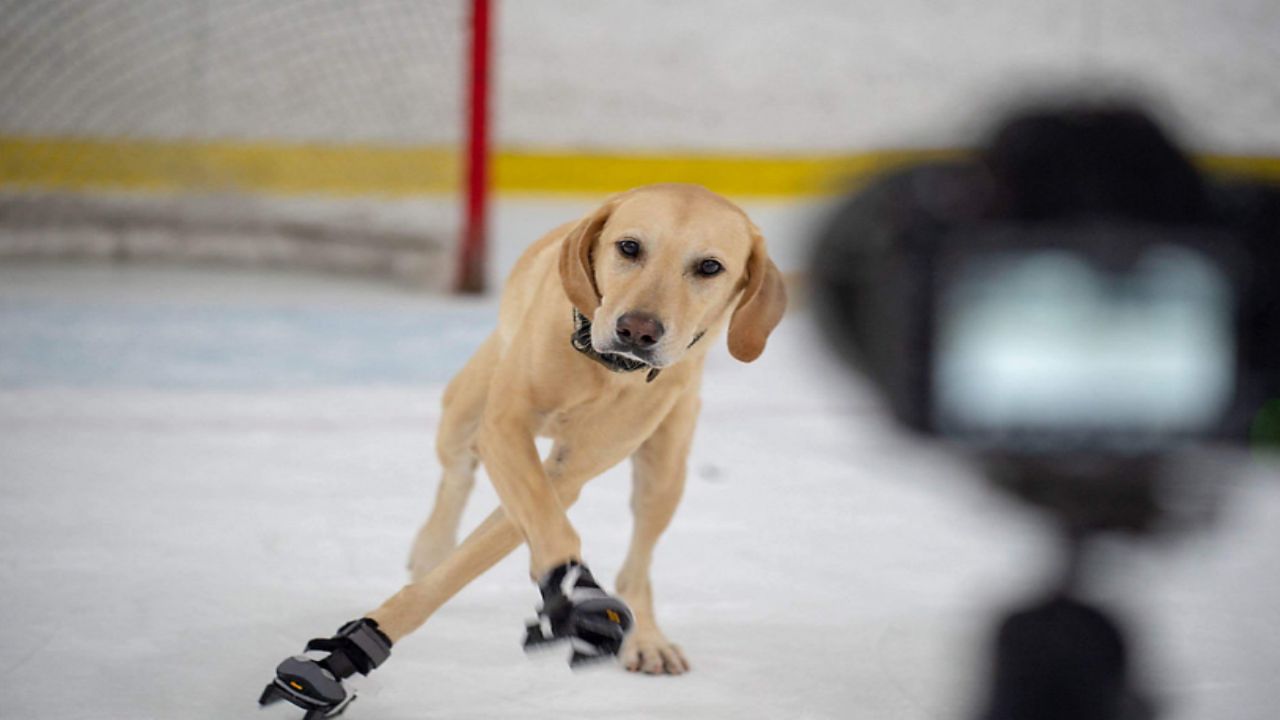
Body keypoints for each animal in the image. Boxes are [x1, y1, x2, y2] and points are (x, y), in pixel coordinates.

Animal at [257, 183, 778, 717]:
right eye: (629, 247)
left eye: (710, 267)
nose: (637, 330)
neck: (599, 366)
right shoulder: (505, 429)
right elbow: (505, 538)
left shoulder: (566, 472)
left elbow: (532, 527)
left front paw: (573, 596)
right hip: (463, 412)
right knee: (457, 473)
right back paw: (432, 546)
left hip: (665, 467)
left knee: (638, 560)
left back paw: (646, 638)